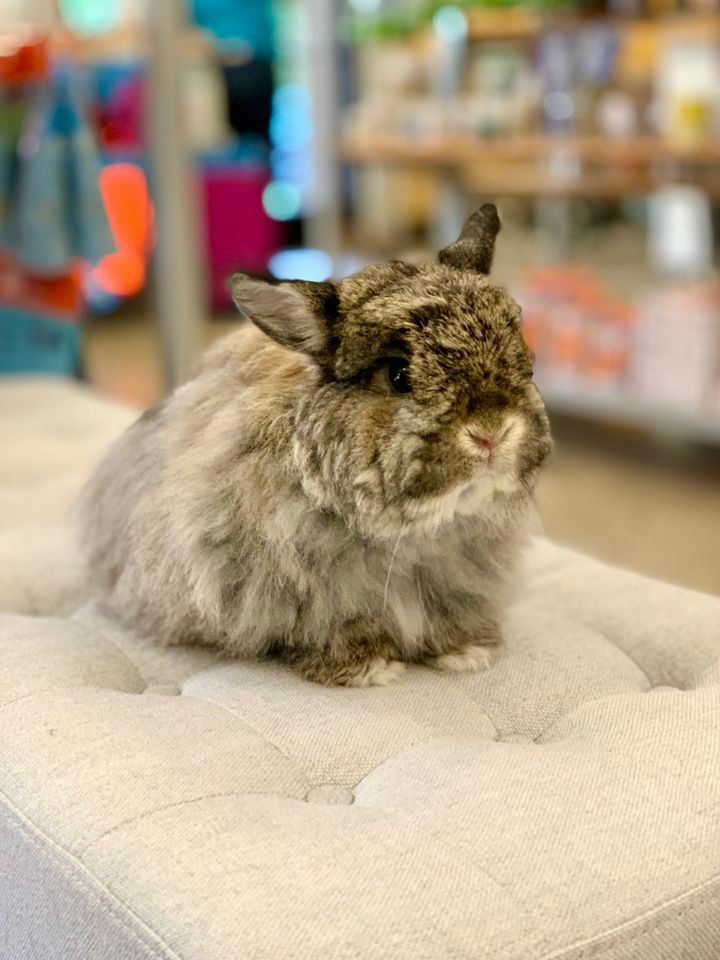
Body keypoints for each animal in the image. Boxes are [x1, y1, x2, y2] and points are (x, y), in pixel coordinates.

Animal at [77, 204, 551, 686]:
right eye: (398, 374)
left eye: (525, 360)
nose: (492, 431)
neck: (415, 531)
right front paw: (369, 669)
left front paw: (468, 653)